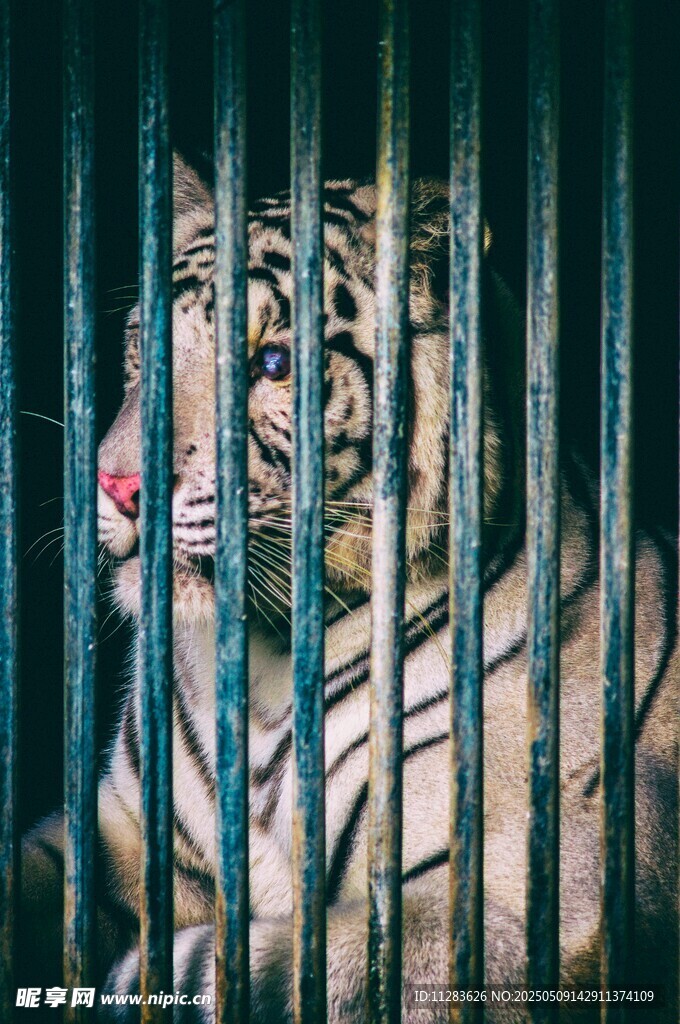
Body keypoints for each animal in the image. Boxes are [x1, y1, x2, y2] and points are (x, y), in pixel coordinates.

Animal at [19, 154, 678, 1022]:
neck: (264, 668)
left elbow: (303, 964)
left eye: (272, 364)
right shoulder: (121, 827)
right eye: (144, 347)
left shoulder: (534, 898)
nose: (119, 486)